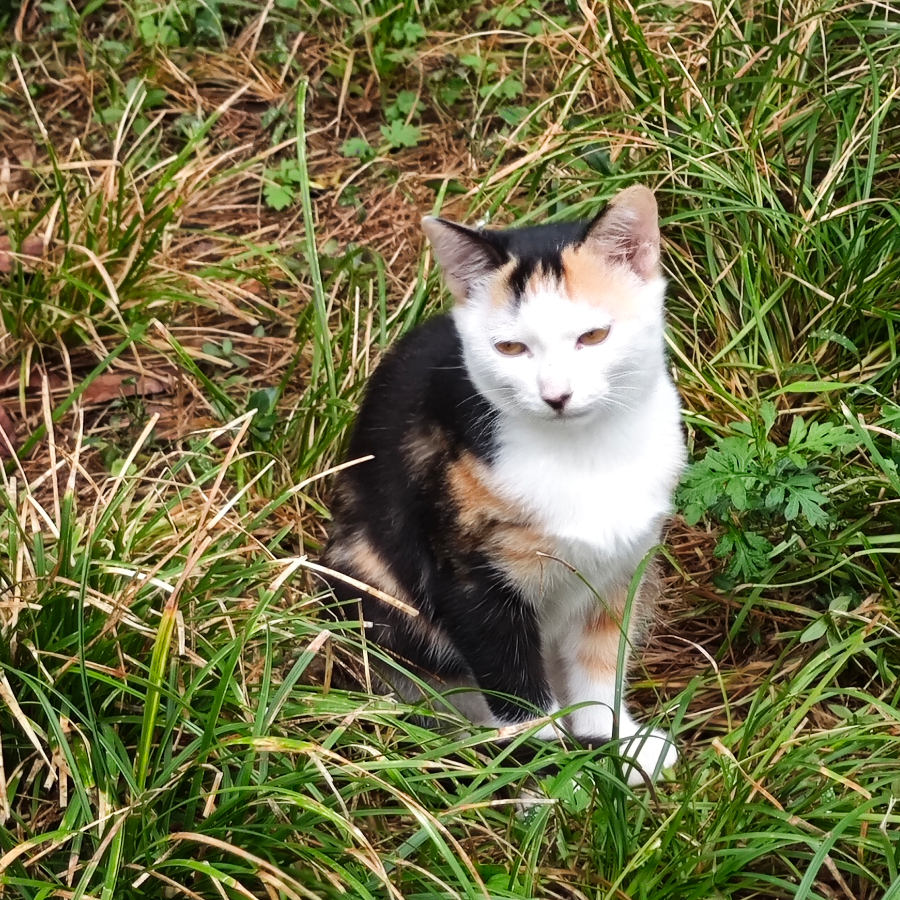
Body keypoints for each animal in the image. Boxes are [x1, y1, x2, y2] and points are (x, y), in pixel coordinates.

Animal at [322, 186, 684, 784]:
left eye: (594, 336)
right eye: (511, 349)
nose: (556, 395)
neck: (583, 454)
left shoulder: (622, 568)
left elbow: (600, 661)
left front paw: (617, 744)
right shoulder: (469, 578)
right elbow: (517, 692)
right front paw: (553, 776)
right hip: (366, 579)